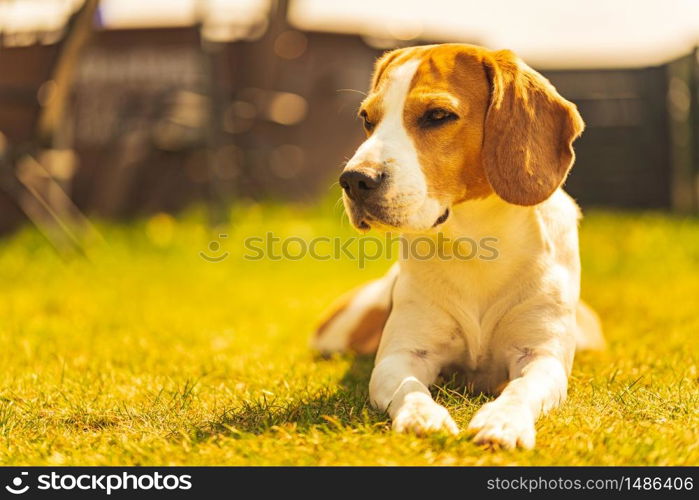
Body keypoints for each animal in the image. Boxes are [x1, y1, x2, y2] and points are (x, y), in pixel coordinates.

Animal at [314, 44, 604, 450]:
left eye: (438, 115)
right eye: (367, 119)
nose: (354, 179)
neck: (477, 246)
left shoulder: (542, 357)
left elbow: (521, 389)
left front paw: (503, 420)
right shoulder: (401, 356)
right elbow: (409, 388)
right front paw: (422, 416)